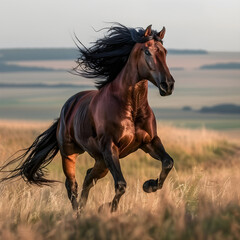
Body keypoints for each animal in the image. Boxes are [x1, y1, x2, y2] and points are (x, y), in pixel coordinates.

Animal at [0, 23, 175, 213]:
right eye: (147, 52)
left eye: (165, 52)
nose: (168, 85)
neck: (132, 107)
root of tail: (66, 108)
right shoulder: (109, 147)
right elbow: (121, 184)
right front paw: (108, 208)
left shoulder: (149, 141)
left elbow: (168, 162)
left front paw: (149, 185)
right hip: (71, 154)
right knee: (72, 185)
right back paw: (78, 212)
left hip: (101, 161)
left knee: (88, 178)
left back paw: (83, 209)